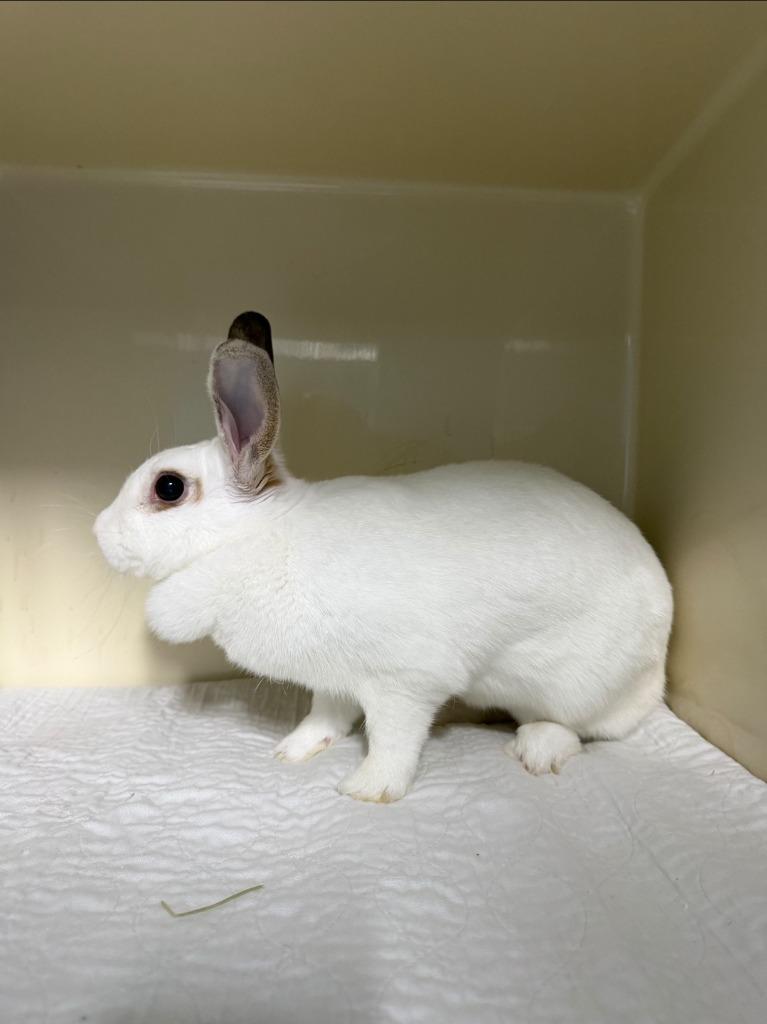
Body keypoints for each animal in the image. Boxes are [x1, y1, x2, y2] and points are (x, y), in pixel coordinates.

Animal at [95, 311, 673, 803]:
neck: (258, 539)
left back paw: (536, 748)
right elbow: (325, 716)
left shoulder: (404, 682)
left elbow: (394, 738)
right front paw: (293, 750)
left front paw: (368, 789)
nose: (98, 532)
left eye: (168, 487)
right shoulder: (333, 679)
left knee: (586, 729)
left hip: (572, 686)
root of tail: (659, 660)